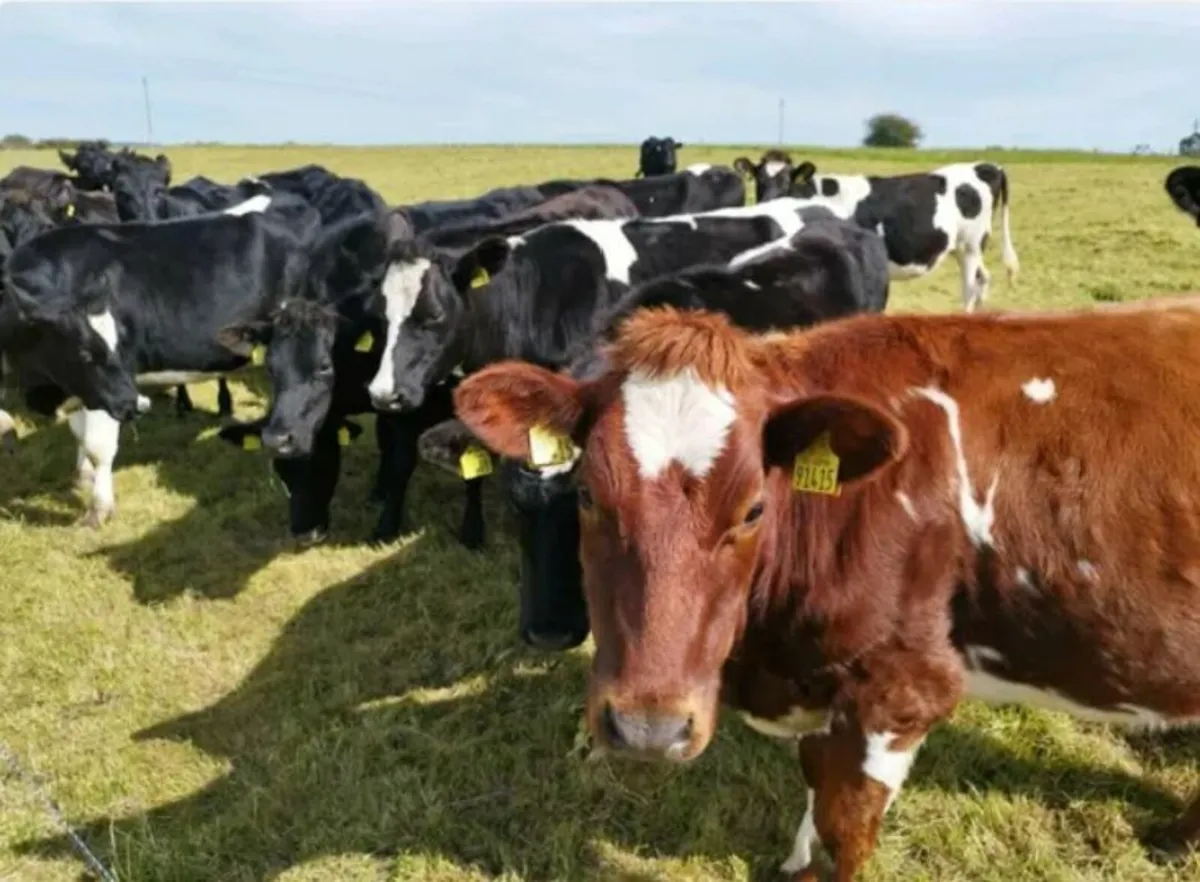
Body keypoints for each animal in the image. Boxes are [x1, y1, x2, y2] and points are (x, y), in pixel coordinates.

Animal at [0, 205, 320, 526]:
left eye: (116, 346)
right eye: (84, 353)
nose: (139, 405)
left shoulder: (109, 389)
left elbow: (98, 445)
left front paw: (99, 509)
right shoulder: (82, 387)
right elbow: (80, 434)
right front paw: (83, 478)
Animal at [452, 296, 1200, 880]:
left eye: (754, 507)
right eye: (585, 494)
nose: (647, 729)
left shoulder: (902, 691)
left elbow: (848, 827)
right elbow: (815, 789)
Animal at [732, 151, 1019, 312]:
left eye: (786, 179)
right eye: (758, 179)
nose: (767, 200)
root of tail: (986, 166)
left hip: (969, 245)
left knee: (970, 287)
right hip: (967, 248)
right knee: (983, 279)